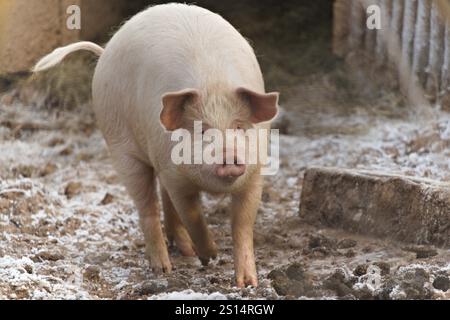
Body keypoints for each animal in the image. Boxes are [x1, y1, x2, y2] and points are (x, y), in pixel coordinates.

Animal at [33, 2, 278, 288]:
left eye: (239, 127)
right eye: (201, 129)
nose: (229, 155)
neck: (212, 83)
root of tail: (105, 52)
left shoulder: (254, 173)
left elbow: (242, 224)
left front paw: (247, 283)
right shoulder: (175, 175)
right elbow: (192, 214)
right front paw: (211, 255)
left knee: (163, 199)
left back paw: (185, 251)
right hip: (121, 147)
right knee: (147, 207)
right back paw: (163, 268)